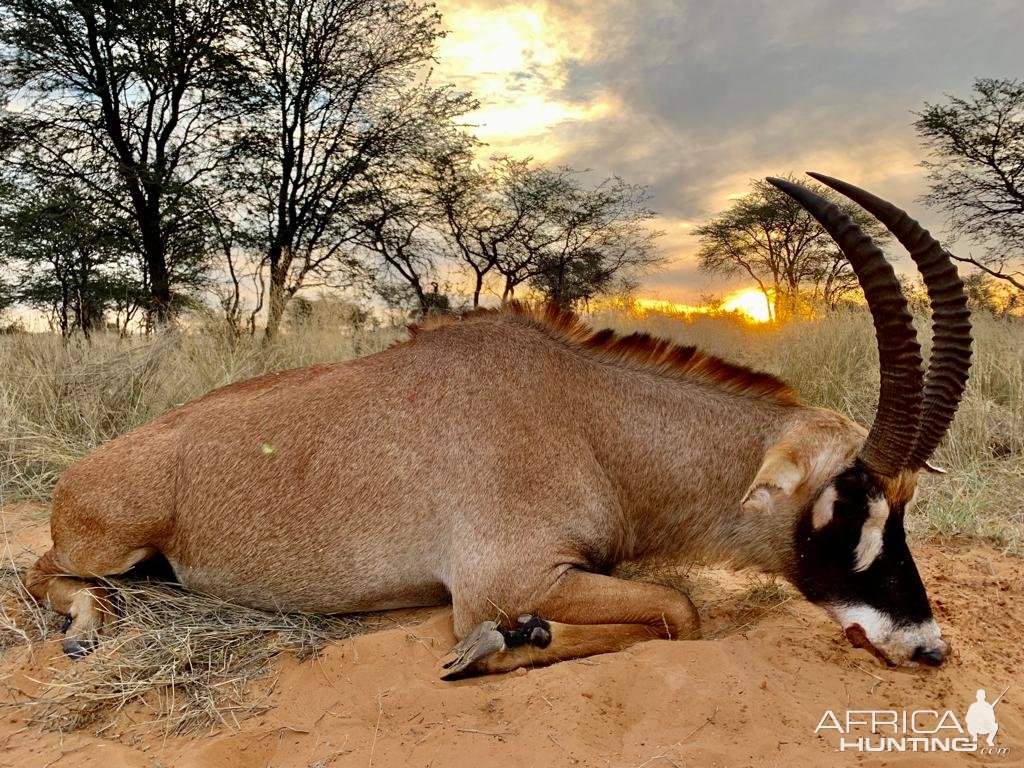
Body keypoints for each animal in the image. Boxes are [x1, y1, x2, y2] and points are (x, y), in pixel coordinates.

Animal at [22, 176, 966, 679]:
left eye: (905, 510)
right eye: (849, 507)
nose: (927, 648)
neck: (588, 420)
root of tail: (83, 473)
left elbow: (673, 608)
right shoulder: (505, 579)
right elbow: (681, 609)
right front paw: (495, 645)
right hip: (109, 542)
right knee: (41, 572)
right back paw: (85, 625)